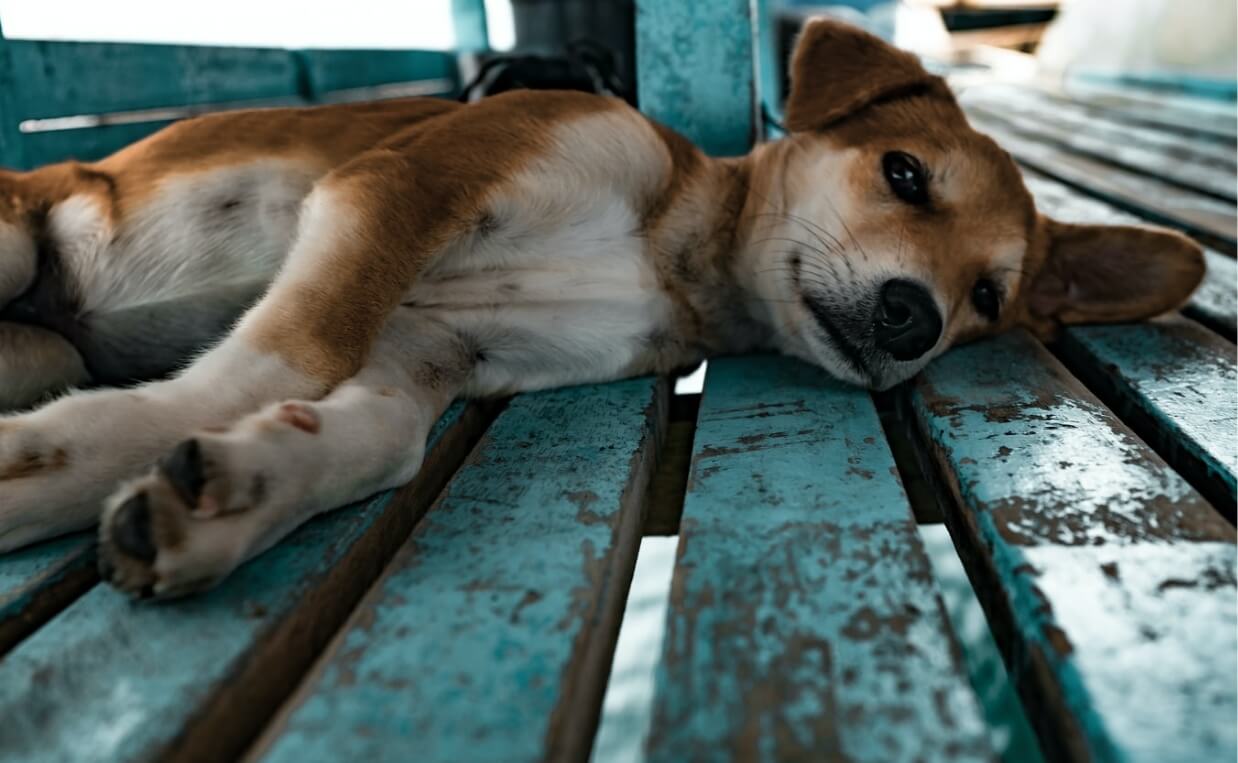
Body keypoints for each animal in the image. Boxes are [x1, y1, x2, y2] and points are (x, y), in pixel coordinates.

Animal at [0, 20, 1203, 599]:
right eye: (903, 174)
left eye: (987, 296)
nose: (915, 318)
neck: (671, 254)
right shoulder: (402, 186)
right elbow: (290, 351)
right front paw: (88, 448)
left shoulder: (436, 346)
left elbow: (375, 438)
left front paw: (240, 490)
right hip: (17, 237)